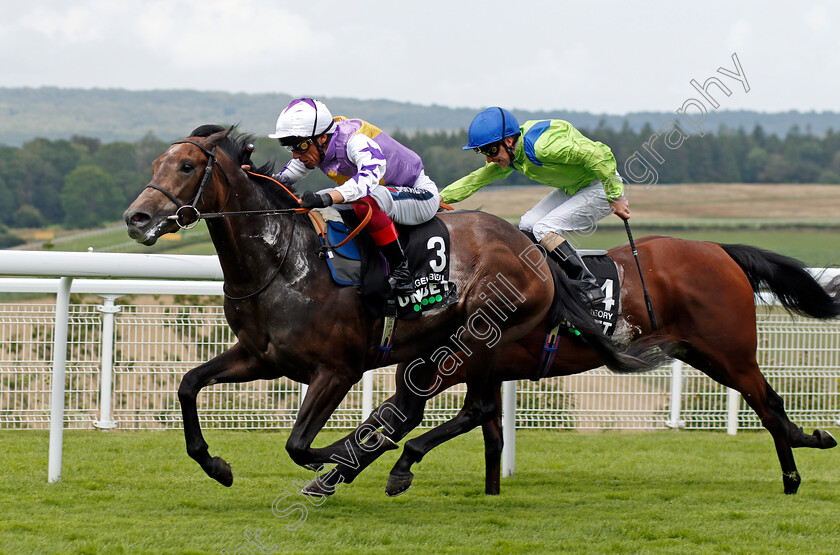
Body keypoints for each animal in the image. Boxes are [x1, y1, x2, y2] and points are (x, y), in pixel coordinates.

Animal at [121, 128, 656, 488]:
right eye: (155, 163)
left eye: (186, 167)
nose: (136, 218)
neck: (284, 262)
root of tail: (533, 248)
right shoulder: (261, 357)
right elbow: (189, 384)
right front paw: (217, 465)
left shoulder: (338, 370)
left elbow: (298, 445)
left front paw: (343, 451)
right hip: (430, 349)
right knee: (417, 407)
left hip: (480, 335)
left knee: (474, 407)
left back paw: (384, 459)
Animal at [310, 237, 840, 498]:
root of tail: (722, 252)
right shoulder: (483, 370)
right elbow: (483, 429)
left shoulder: (448, 364)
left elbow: (406, 421)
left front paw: (377, 470)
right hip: (702, 353)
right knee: (770, 406)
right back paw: (803, 450)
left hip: (729, 353)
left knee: (769, 406)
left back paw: (796, 469)